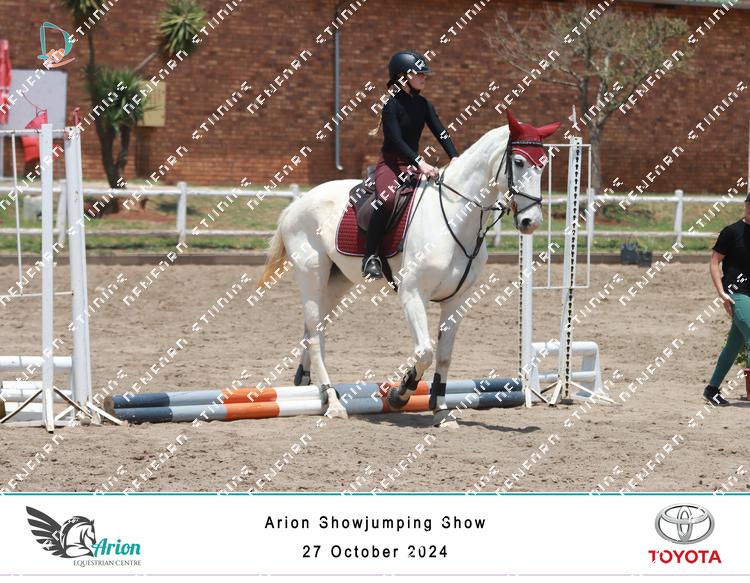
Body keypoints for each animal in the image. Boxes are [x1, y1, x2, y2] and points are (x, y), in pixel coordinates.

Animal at [257, 110, 560, 428]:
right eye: (519, 162)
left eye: (543, 164)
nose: (531, 221)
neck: (456, 216)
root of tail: (297, 205)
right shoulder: (412, 294)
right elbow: (424, 351)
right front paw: (400, 393)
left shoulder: (457, 301)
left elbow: (444, 356)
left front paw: (442, 411)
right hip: (311, 274)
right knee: (316, 335)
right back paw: (334, 402)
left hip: (337, 281)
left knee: (313, 329)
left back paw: (308, 384)